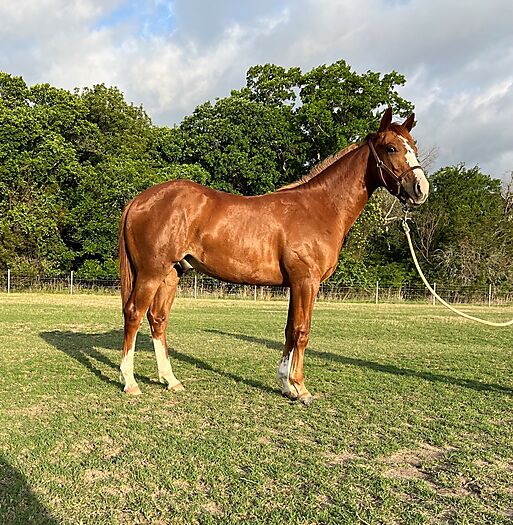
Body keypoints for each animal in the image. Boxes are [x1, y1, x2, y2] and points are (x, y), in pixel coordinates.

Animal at [118, 108, 429, 405]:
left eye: (413, 145)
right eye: (391, 148)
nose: (421, 189)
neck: (319, 208)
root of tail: (138, 200)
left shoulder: (296, 284)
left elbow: (290, 330)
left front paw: (286, 386)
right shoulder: (306, 282)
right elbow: (302, 331)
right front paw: (301, 389)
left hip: (171, 274)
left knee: (158, 319)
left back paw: (171, 380)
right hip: (151, 273)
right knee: (134, 313)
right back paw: (130, 383)